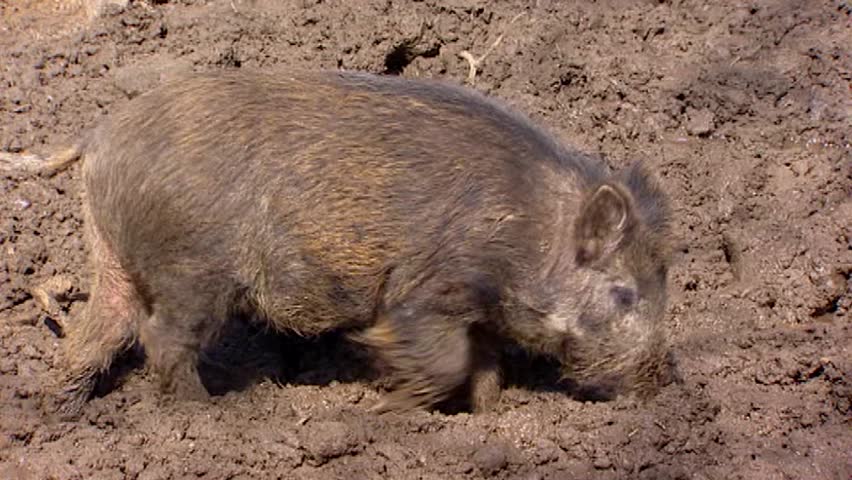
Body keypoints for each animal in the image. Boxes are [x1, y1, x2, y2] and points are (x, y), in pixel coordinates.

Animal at [54, 69, 673, 417]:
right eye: (624, 294)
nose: (660, 382)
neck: (528, 230)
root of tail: (101, 139)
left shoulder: (479, 312)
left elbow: (486, 366)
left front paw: (489, 415)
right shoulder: (427, 291)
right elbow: (447, 362)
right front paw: (388, 409)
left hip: (113, 259)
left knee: (93, 335)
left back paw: (60, 412)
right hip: (192, 270)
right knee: (160, 338)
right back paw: (204, 414)